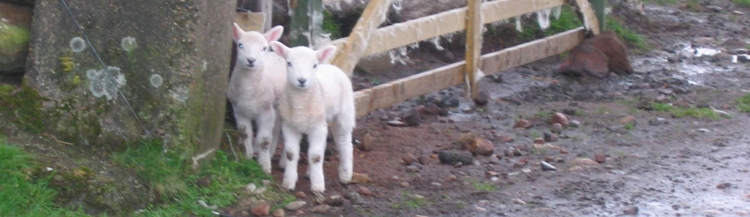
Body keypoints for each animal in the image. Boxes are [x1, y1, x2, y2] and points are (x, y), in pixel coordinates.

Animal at [228, 22, 286, 174]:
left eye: (264, 48)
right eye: (240, 45)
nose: (251, 60)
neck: (248, 91)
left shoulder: (265, 112)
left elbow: (264, 140)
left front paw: (264, 167)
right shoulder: (239, 110)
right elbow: (245, 133)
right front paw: (248, 158)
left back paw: (281, 161)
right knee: (276, 129)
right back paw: (271, 154)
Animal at [268, 40, 356, 200]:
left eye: (314, 65)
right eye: (289, 63)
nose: (302, 80)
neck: (300, 103)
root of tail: (331, 66)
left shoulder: (317, 127)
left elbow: (315, 156)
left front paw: (318, 187)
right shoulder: (290, 126)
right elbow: (291, 154)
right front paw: (288, 183)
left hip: (344, 112)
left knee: (344, 142)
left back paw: (345, 175)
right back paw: (310, 173)